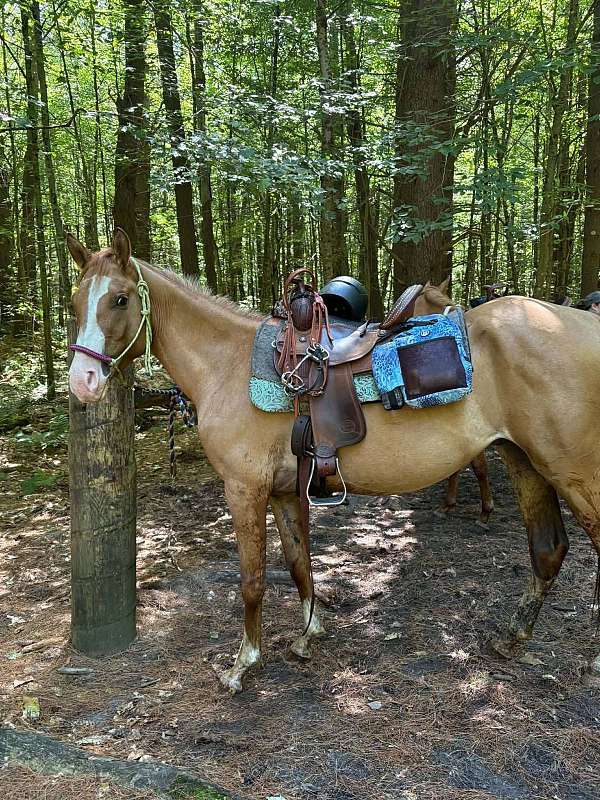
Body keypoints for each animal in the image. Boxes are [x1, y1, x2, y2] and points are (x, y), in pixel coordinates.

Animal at [67, 229, 600, 693]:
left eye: (119, 299)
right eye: (74, 302)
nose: (82, 381)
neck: (229, 365)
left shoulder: (244, 489)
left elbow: (253, 581)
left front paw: (243, 665)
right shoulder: (285, 491)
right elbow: (299, 563)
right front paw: (309, 634)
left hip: (574, 473)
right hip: (524, 461)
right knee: (548, 549)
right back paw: (512, 637)